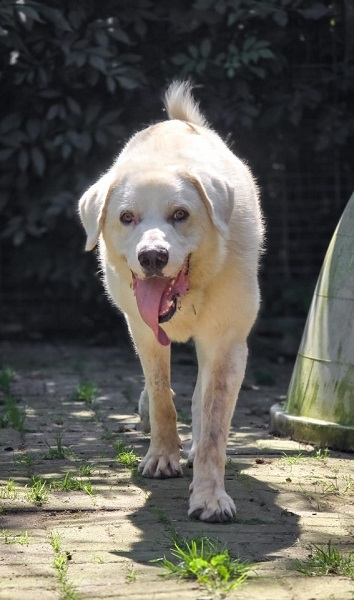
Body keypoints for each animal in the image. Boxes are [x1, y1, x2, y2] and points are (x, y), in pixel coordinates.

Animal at [79, 79, 264, 520]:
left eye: (180, 214)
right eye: (126, 217)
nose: (152, 257)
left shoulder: (226, 342)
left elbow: (213, 422)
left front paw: (210, 496)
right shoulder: (143, 332)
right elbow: (162, 395)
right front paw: (162, 458)